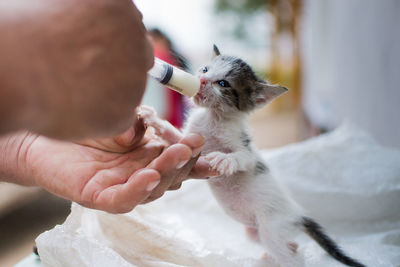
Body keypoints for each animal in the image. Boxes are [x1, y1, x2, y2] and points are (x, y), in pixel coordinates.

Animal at [139, 46, 368, 267]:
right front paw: (155, 121)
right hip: (254, 231)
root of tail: (298, 216)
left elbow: (243, 158)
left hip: (272, 227)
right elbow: (175, 138)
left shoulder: (244, 149)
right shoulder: (191, 138)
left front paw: (226, 159)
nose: (202, 80)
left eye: (223, 83)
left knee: (289, 257)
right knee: (284, 245)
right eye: (205, 69)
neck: (213, 118)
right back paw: (283, 250)